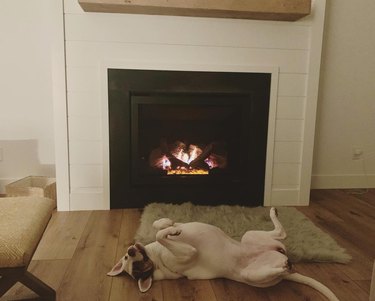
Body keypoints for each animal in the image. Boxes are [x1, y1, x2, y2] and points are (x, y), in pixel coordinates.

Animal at [107, 206, 340, 300]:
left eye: (127, 258)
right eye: (136, 268)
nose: (131, 250)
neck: (156, 259)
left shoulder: (176, 230)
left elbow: (160, 225)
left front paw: (168, 225)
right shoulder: (189, 253)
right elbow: (160, 234)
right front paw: (168, 232)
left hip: (249, 236)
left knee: (281, 234)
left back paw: (274, 214)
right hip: (253, 276)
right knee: (278, 265)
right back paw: (285, 265)